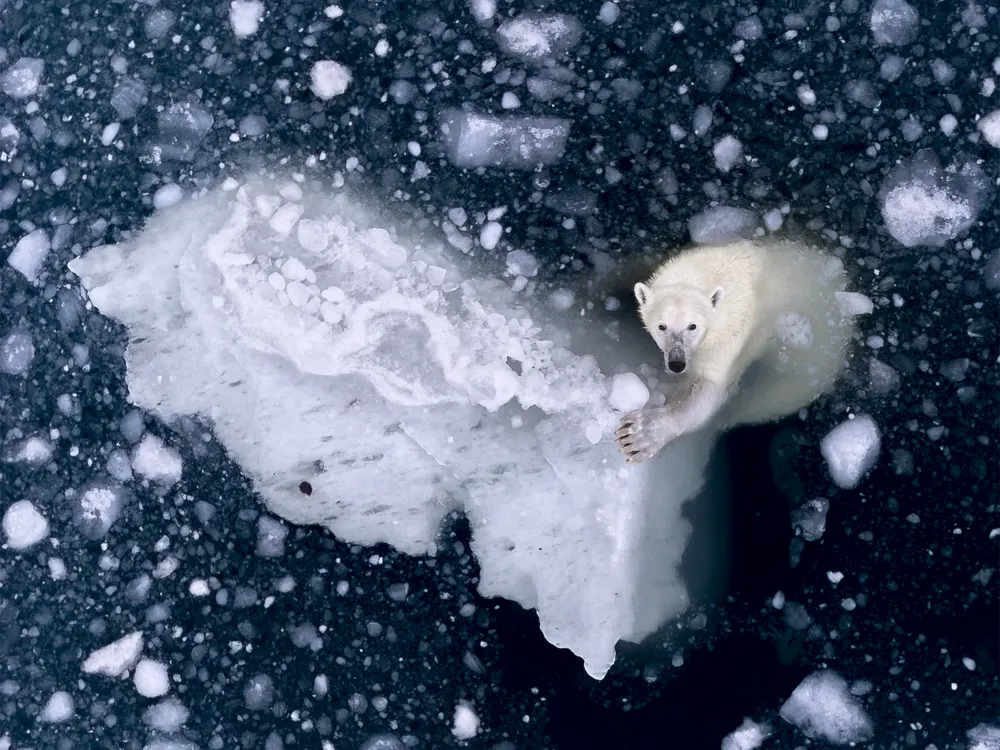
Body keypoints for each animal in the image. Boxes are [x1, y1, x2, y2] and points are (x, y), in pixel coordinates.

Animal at [615, 239, 855, 464]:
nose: (677, 363)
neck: (714, 271)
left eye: (693, 326)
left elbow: (710, 388)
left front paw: (638, 435)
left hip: (805, 367)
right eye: (661, 326)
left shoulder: (730, 332)